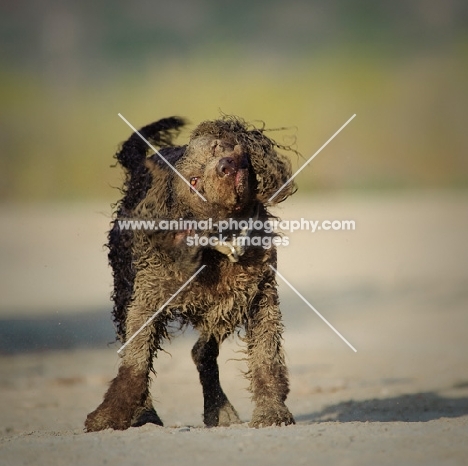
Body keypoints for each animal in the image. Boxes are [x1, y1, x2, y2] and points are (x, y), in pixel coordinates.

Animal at [84, 115, 296, 430]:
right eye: (194, 181)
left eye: (219, 146)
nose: (227, 164)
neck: (219, 246)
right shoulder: (147, 302)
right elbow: (135, 364)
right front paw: (110, 415)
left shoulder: (259, 297)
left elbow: (265, 359)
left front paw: (272, 412)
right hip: (125, 291)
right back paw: (147, 414)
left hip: (223, 309)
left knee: (202, 352)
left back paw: (220, 411)